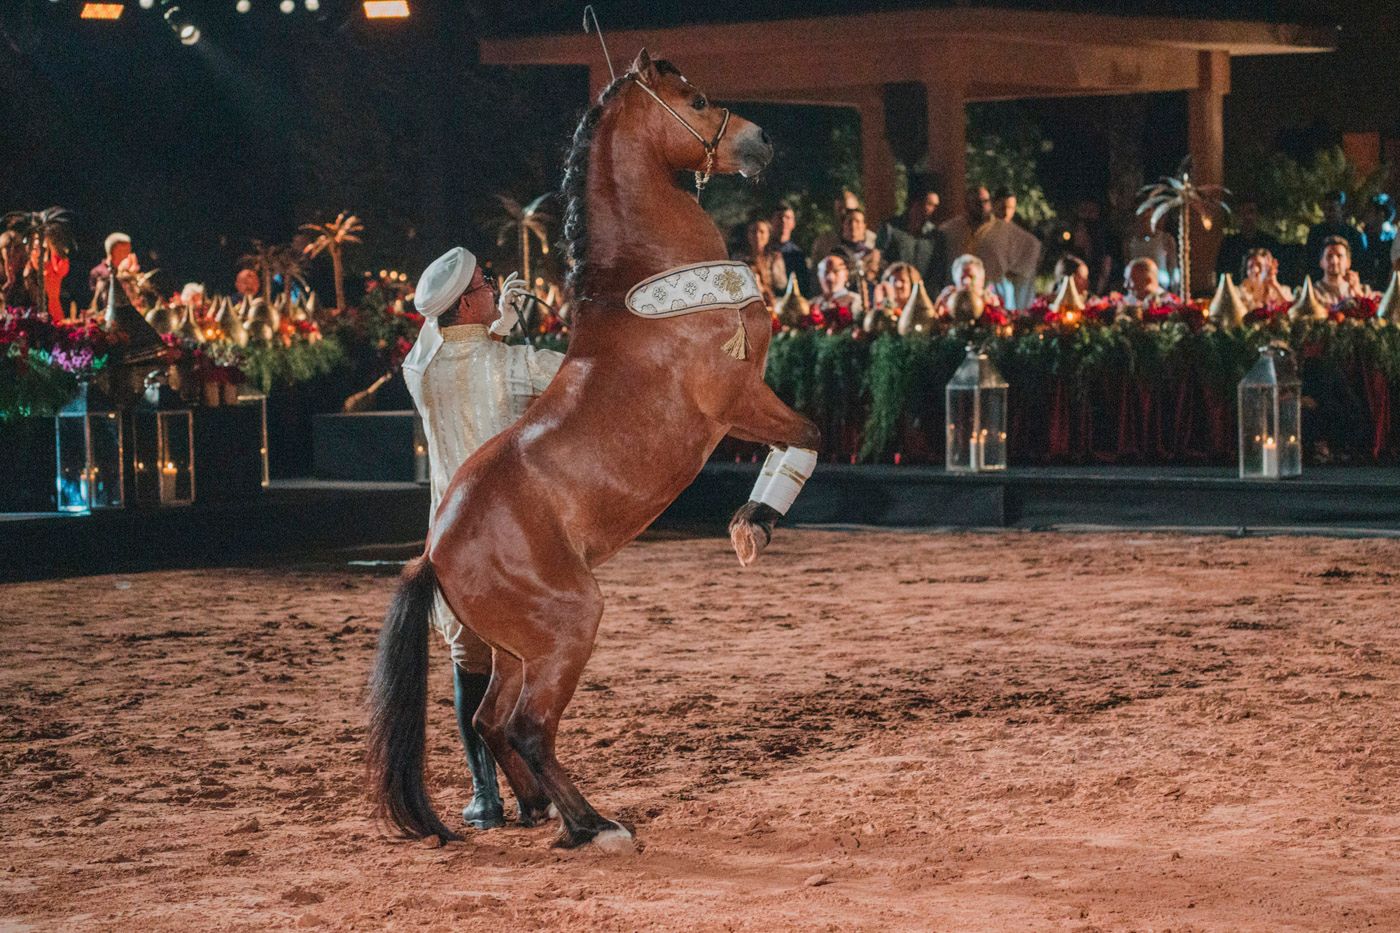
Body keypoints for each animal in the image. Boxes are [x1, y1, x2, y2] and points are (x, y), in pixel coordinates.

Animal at [368, 48, 820, 852]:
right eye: (695, 100)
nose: (761, 141)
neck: (651, 286)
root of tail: (434, 552)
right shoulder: (738, 401)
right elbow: (810, 437)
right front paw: (751, 527)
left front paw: (753, 526)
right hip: (571, 624)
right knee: (527, 726)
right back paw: (595, 824)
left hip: (519, 647)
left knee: (489, 719)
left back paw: (538, 809)